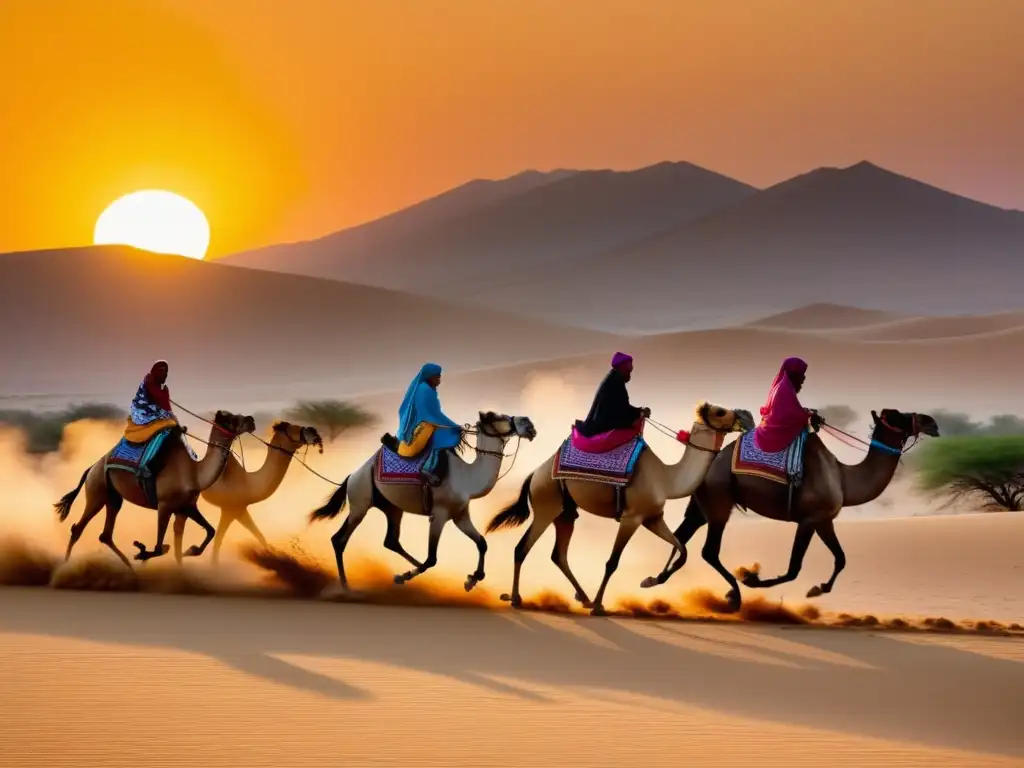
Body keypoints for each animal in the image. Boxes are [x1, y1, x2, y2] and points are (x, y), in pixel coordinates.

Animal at [54, 411, 258, 569]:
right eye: (231, 418)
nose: (251, 420)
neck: (194, 473)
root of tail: (92, 467)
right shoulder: (164, 506)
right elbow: (160, 548)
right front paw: (142, 552)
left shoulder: (186, 508)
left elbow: (205, 534)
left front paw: (189, 552)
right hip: (97, 491)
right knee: (78, 529)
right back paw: (65, 565)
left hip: (113, 497)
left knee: (106, 535)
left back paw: (131, 570)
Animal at [195, 421, 323, 565]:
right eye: (291, 428)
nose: (313, 431)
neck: (249, 483)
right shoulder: (231, 509)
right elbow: (218, 542)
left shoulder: (239, 510)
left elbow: (260, 537)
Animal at [307, 411, 536, 593]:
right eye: (499, 417)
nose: (529, 425)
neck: (466, 478)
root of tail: (352, 476)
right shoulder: (439, 514)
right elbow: (432, 558)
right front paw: (403, 576)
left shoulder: (460, 515)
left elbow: (482, 543)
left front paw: (471, 580)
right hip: (359, 503)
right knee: (339, 540)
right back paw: (346, 586)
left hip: (391, 508)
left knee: (391, 540)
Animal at [479, 405, 753, 618]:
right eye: (719, 411)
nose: (747, 416)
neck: (666, 478)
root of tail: (534, 474)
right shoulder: (631, 518)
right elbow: (612, 562)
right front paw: (600, 607)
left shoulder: (653, 519)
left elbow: (682, 549)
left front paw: (649, 581)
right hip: (546, 505)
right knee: (522, 548)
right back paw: (517, 599)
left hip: (565, 513)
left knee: (559, 555)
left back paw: (583, 597)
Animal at [643, 409, 937, 614]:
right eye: (898, 416)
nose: (931, 422)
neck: (843, 477)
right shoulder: (808, 519)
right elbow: (795, 568)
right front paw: (751, 578)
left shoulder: (824, 520)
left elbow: (841, 558)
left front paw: (818, 588)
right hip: (719, 500)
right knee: (709, 551)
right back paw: (734, 596)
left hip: (702, 504)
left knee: (682, 535)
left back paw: (655, 579)